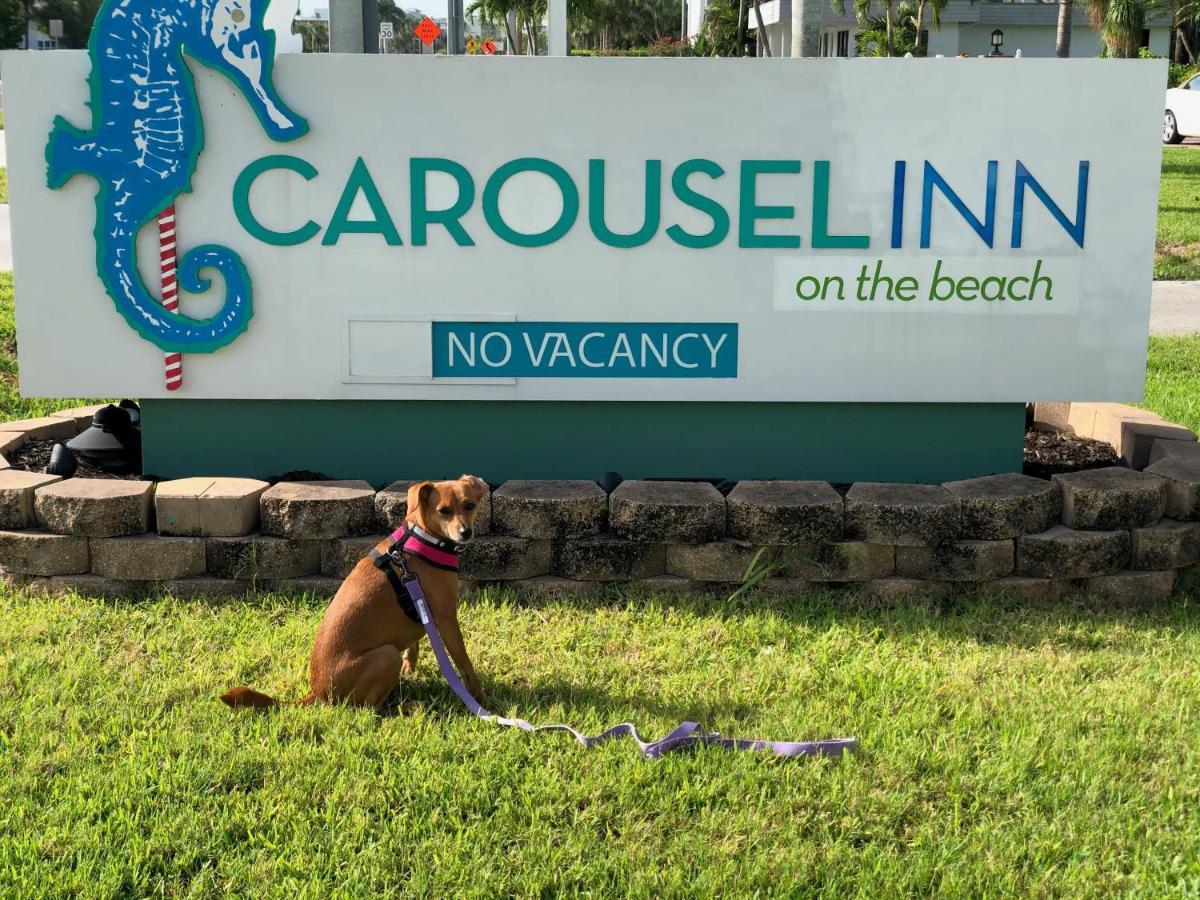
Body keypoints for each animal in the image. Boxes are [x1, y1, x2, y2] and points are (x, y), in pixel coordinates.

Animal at [220, 475, 487, 715]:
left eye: (469, 505)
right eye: (443, 510)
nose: (466, 532)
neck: (422, 537)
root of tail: (319, 693)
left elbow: (413, 646)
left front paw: (410, 669)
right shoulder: (446, 619)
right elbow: (464, 663)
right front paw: (479, 697)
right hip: (387, 655)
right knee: (368, 708)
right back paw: (406, 707)